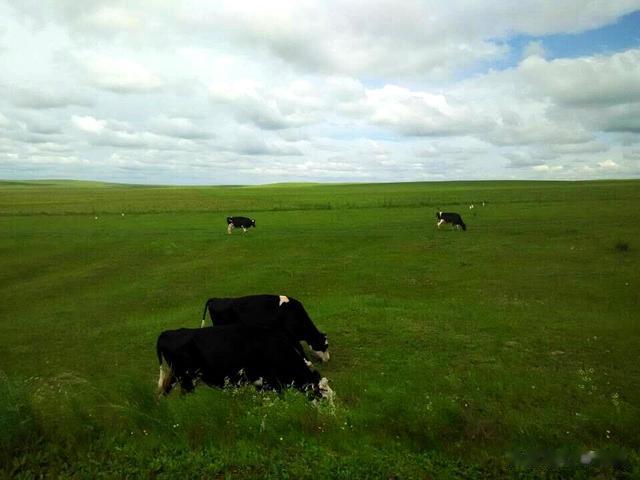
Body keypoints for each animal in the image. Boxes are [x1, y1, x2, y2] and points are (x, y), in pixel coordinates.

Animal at [157, 324, 332, 400]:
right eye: (323, 397)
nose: (330, 416)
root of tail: (167, 333)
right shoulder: (269, 381)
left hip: (177, 376)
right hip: (186, 379)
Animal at [201, 294, 332, 362]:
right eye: (324, 346)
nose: (328, 359)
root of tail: (217, 299)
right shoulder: (290, 334)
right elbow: (299, 347)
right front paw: (308, 362)